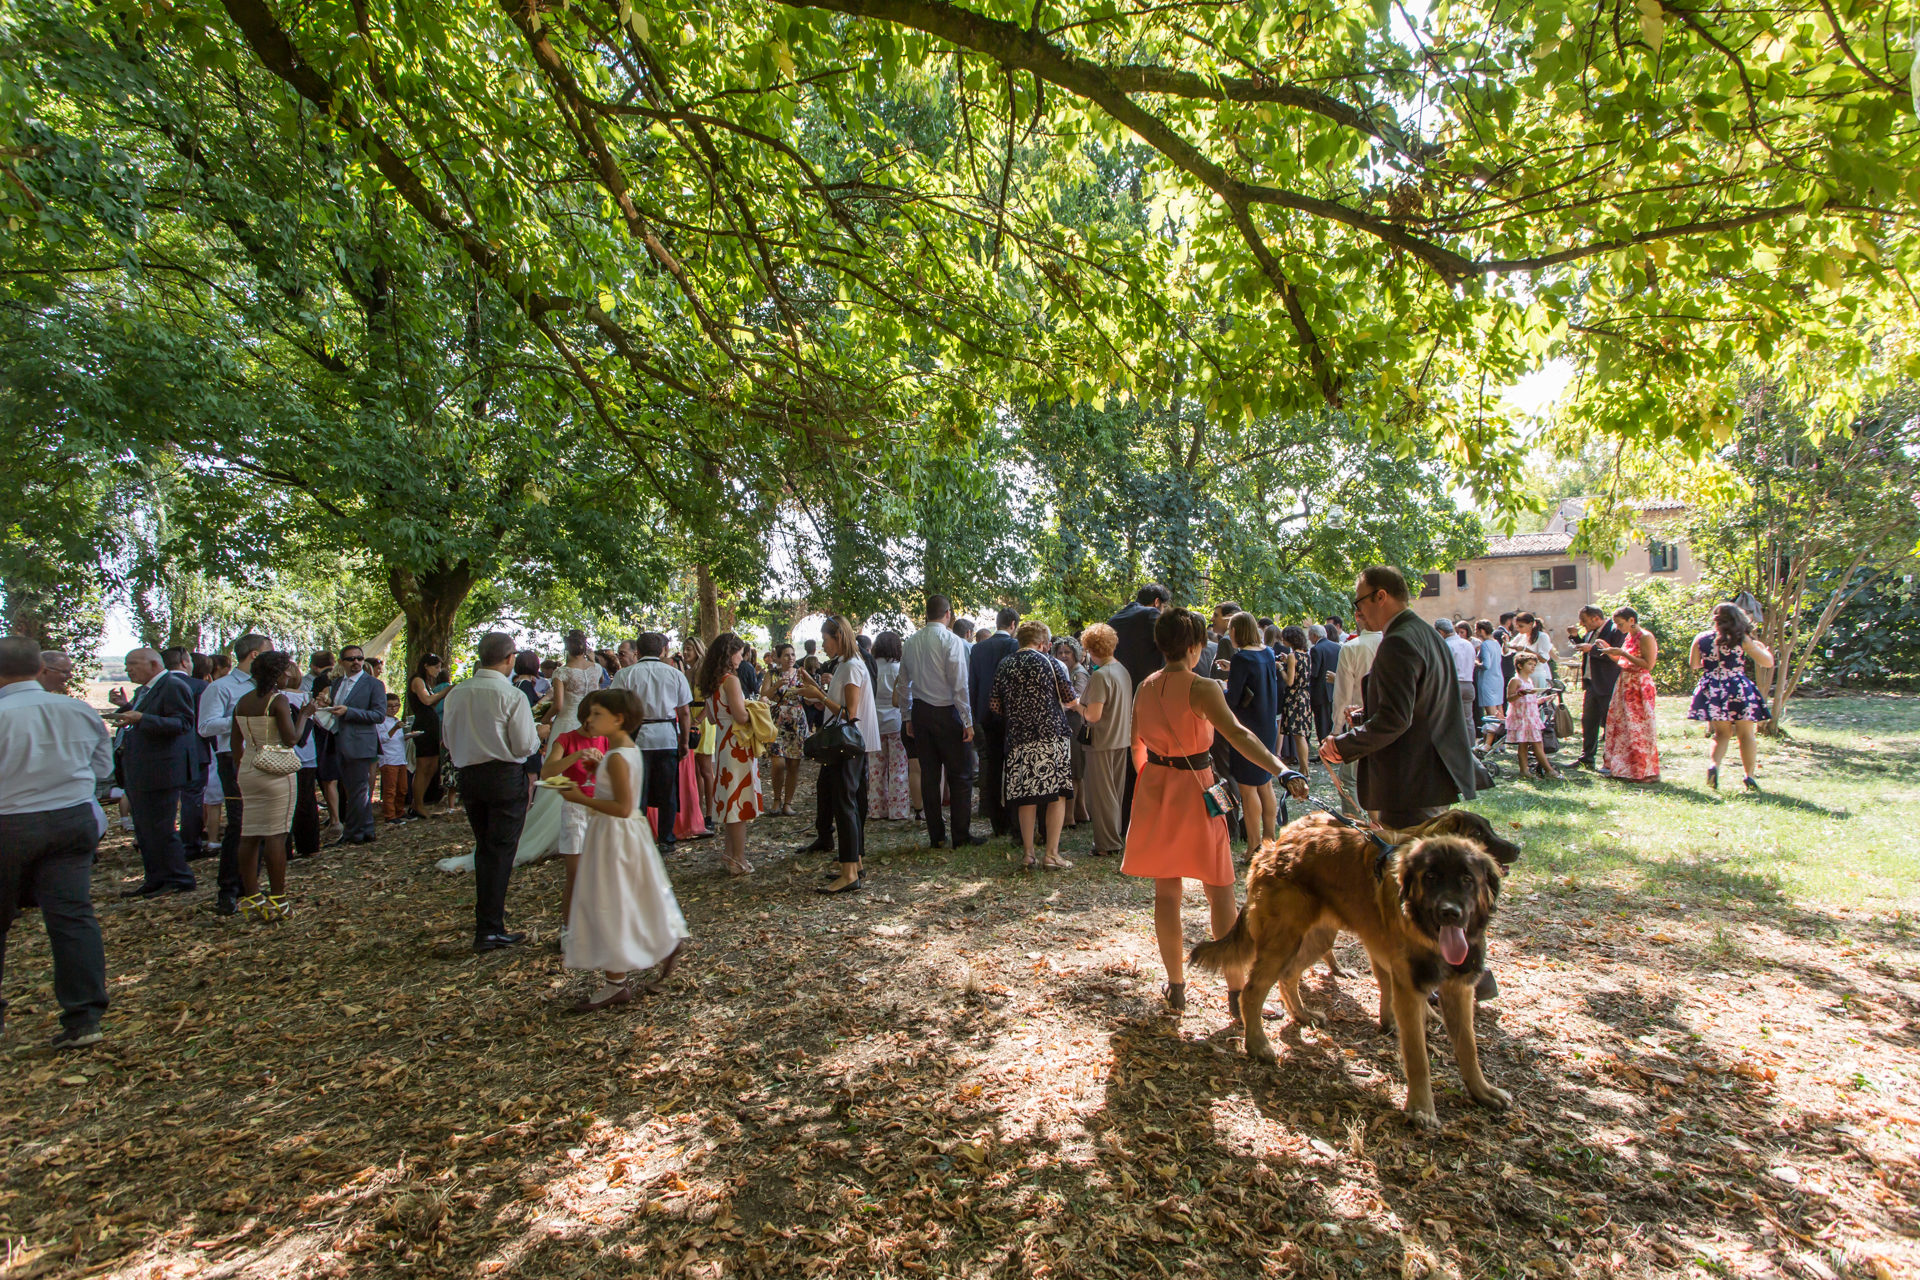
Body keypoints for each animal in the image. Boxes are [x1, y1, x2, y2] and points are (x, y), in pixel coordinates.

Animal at [1182, 817, 1512, 1128]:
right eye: (1430, 877)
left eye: (1467, 879)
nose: (1450, 913)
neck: (1423, 929)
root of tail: (1272, 846)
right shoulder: (1408, 988)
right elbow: (1418, 1056)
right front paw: (1421, 1108)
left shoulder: (1459, 988)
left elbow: (1468, 1046)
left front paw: (1482, 1091)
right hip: (1283, 941)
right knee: (1251, 992)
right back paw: (1258, 1045)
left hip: (1315, 938)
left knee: (1288, 976)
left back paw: (1302, 1015)